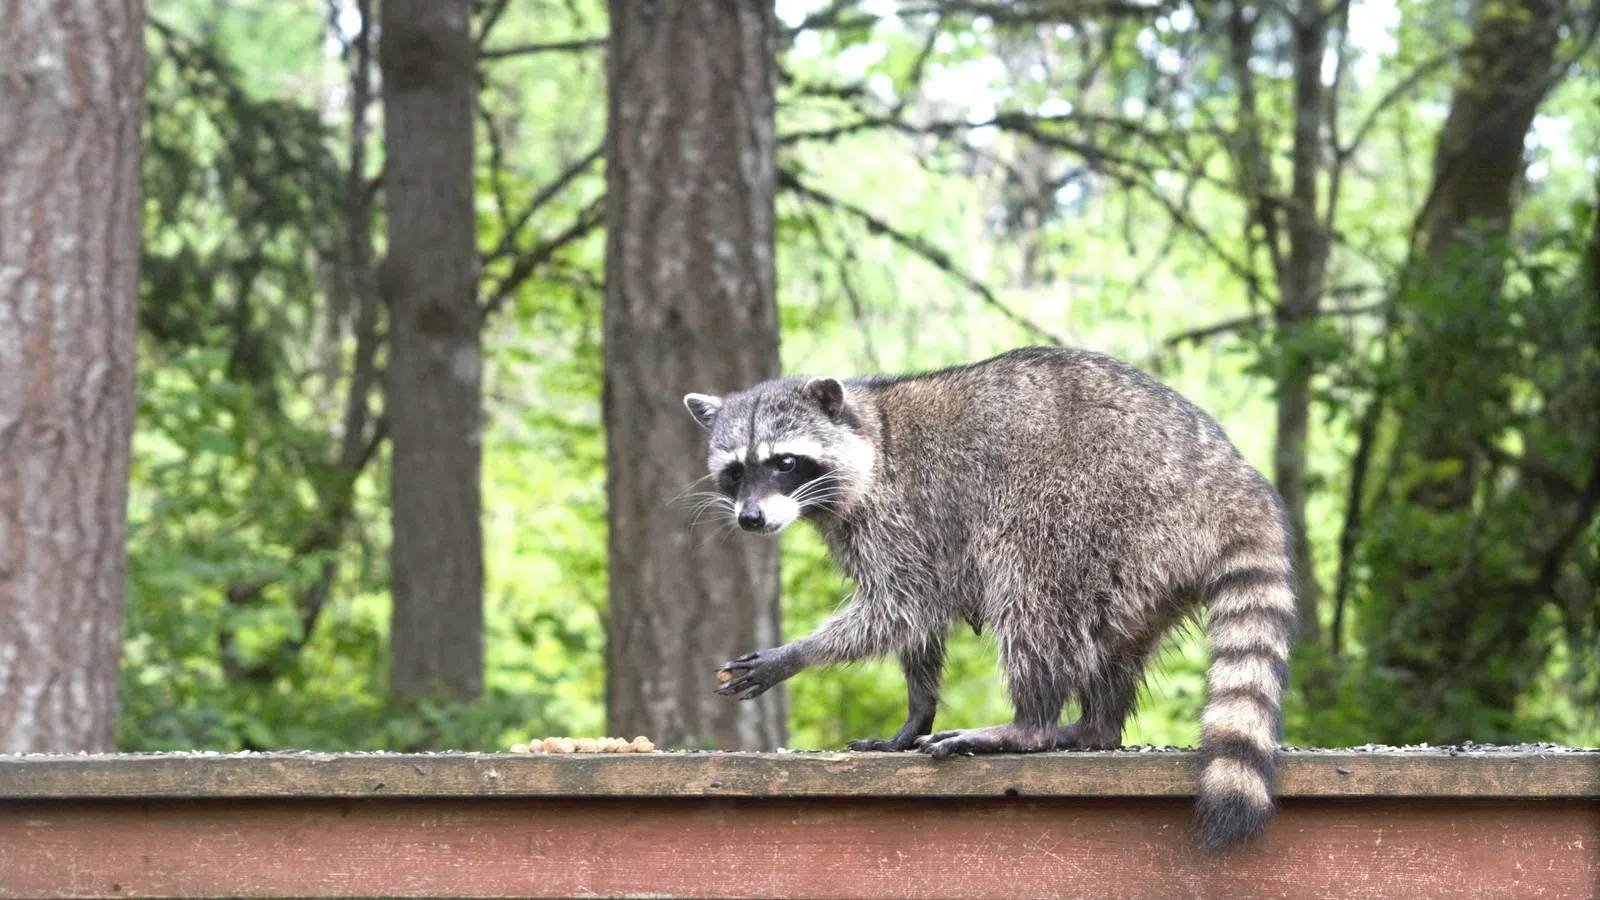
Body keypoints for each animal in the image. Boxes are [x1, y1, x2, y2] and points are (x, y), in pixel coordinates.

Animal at [683, 346, 1297, 852]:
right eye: (735, 472)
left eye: (784, 462)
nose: (751, 518)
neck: (872, 432)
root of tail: (1228, 476)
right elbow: (916, 624)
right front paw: (916, 712)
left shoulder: (900, 512)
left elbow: (904, 605)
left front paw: (795, 654)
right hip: (1146, 560)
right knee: (1114, 640)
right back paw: (1092, 726)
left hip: (1099, 506)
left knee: (1031, 591)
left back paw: (1028, 725)